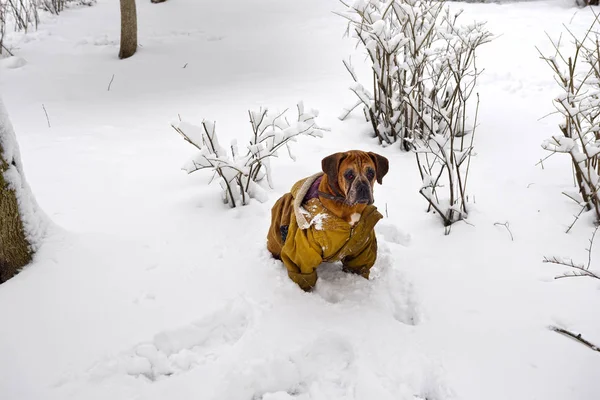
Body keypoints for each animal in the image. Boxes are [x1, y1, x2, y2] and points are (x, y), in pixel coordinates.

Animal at [268, 150, 390, 290]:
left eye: (371, 173)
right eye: (349, 175)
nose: (363, 186)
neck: (347, 207)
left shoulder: (362, 247)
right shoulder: (303, 252)